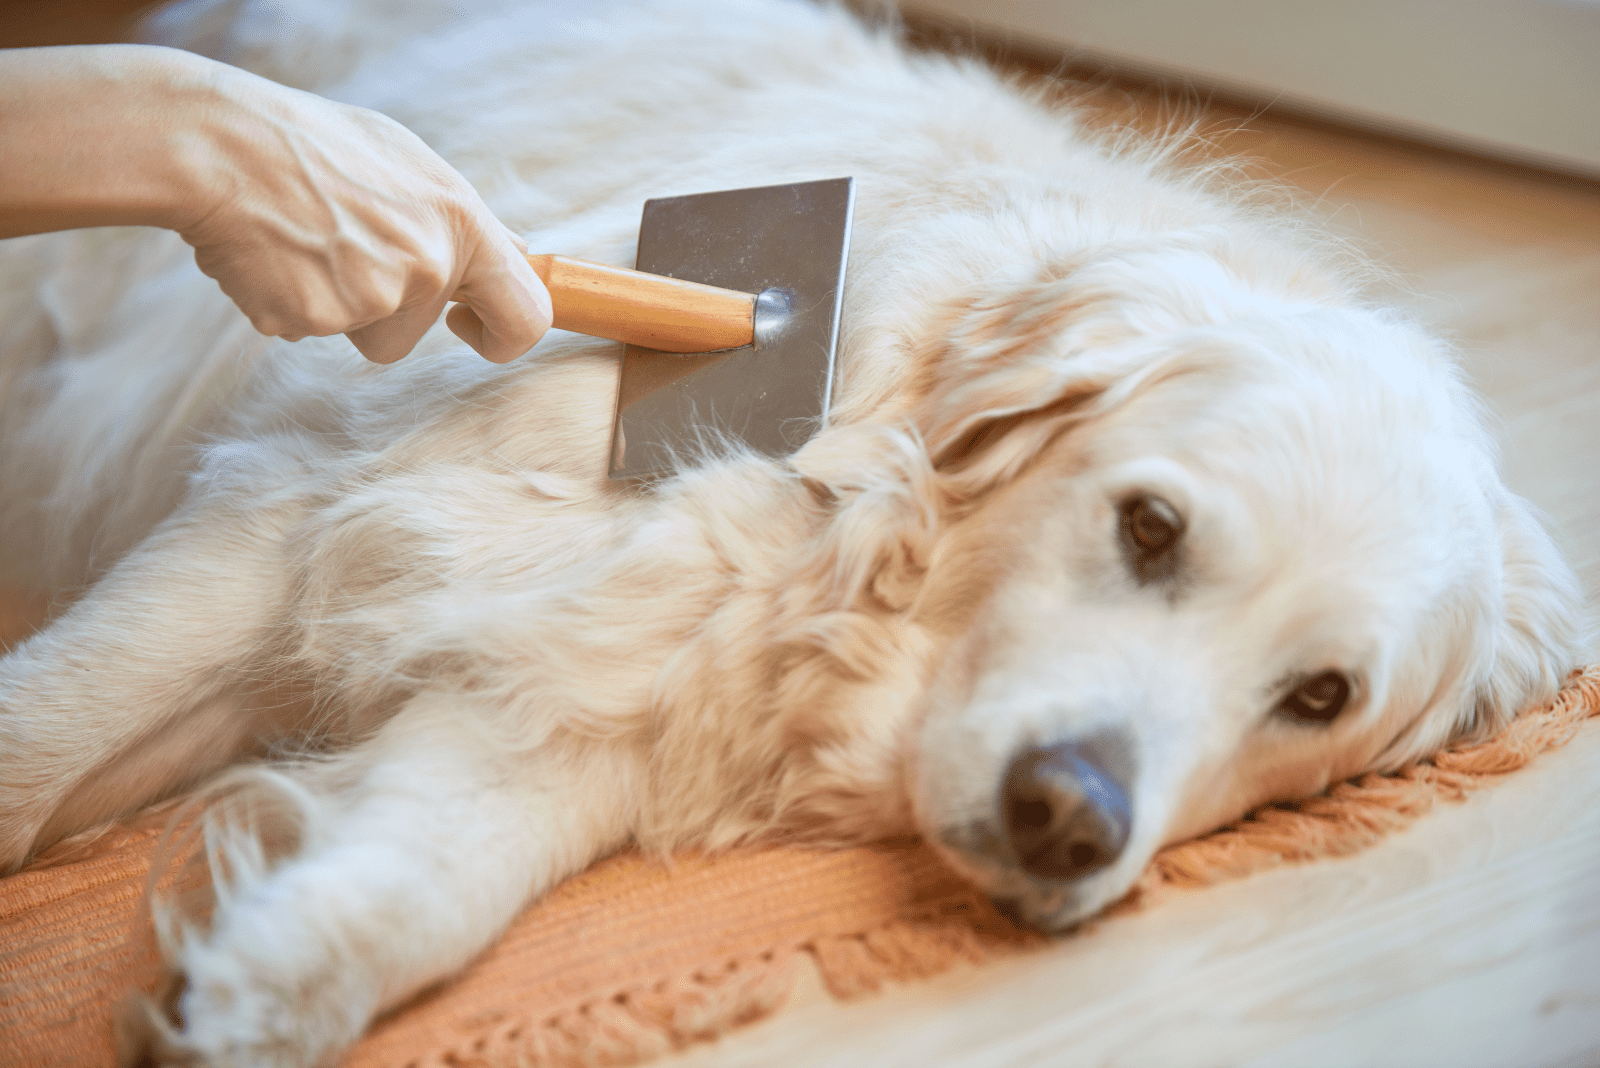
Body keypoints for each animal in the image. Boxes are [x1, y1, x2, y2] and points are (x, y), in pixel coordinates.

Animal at [0, 0, 1580, 1061]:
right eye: (1148, 528)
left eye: (1320, 697)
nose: (1069, 820)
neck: (838, 531)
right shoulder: (299, 520)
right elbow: (45, 732)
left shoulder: (586, 691)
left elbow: (432, 878)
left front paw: (255, 984)